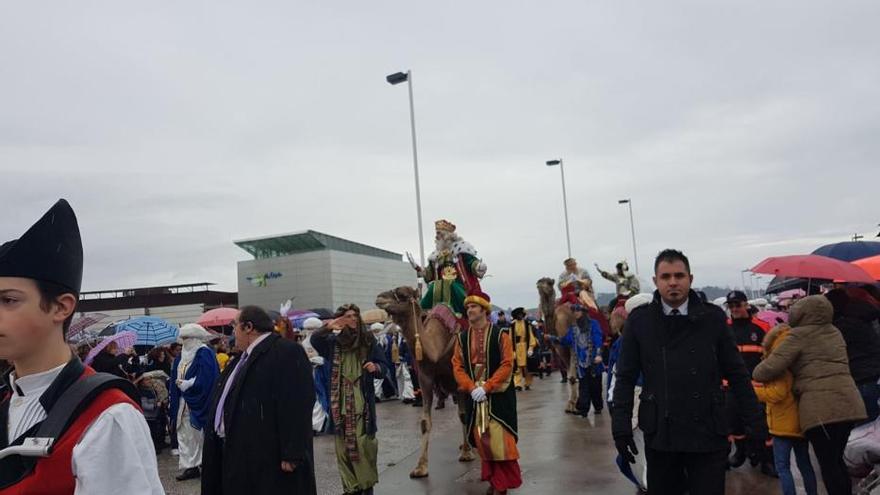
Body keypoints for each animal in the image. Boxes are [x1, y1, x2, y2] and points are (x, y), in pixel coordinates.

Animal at [376, 286, 478, 480]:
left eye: (402, 295)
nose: (380, 298)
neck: (436, 348)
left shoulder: (459, 380)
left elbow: (463, 415)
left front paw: (467, 453)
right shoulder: (425, 379)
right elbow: (424, 422)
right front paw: (420, 468)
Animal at [536, 278, 576, 412]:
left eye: (549, 282)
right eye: (540, 281)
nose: (539, 284)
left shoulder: (573, 345)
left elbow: (573, 375)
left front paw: (573, 406)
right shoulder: (560, 348)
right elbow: (571, 375)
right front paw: (571, 404)